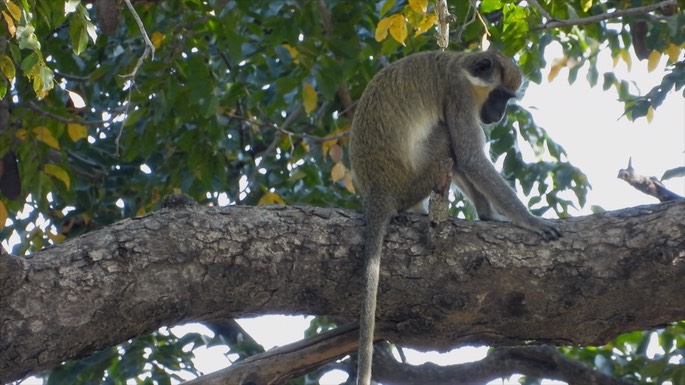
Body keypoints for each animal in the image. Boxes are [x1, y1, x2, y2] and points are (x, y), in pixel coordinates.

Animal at [348, 51, 560, 384]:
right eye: (500, 96)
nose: (500, 115)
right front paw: (530, 220)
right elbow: (470, 156)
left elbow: (467, 158)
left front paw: (492, 215)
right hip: (414, 179)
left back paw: (483, 214)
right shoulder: (458, 94)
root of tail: (377, 190)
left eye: (508, 99)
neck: (460, 65)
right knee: (449, 139)